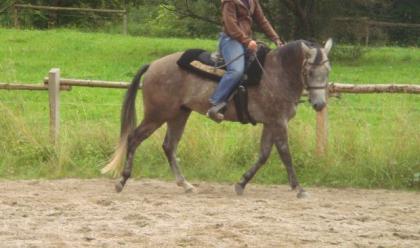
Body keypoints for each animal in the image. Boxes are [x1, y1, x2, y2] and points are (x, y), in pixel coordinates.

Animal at [101, 38, 332, 198]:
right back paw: (122, 181)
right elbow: (285, 154)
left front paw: (241, 183)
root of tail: (153, 65)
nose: (319, 104)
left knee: (169, 146)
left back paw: (186, 185)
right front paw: (299, 188)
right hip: (157, 115)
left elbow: (264, 155)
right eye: (310, 71)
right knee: (134, 138)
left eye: (328, 70)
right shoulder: (278, 122)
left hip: (179, 114)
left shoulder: (270, 123)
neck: (276, 73)